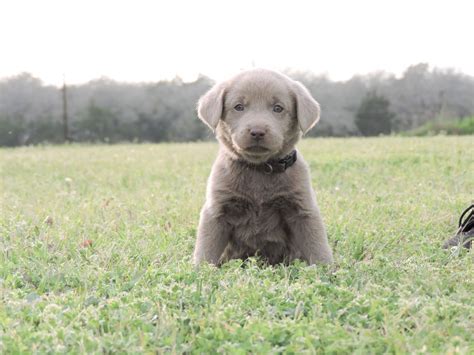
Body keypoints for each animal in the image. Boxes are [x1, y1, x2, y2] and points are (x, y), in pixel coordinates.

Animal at [193, 69, 334, 268]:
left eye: (278, 108)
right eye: (238, 107)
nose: (257, 131)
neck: (260, 168)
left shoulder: (303, 210)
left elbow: (317, 245)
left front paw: (327, 271)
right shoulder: (216, 211)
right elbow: (206, 249)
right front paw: (199, 271)